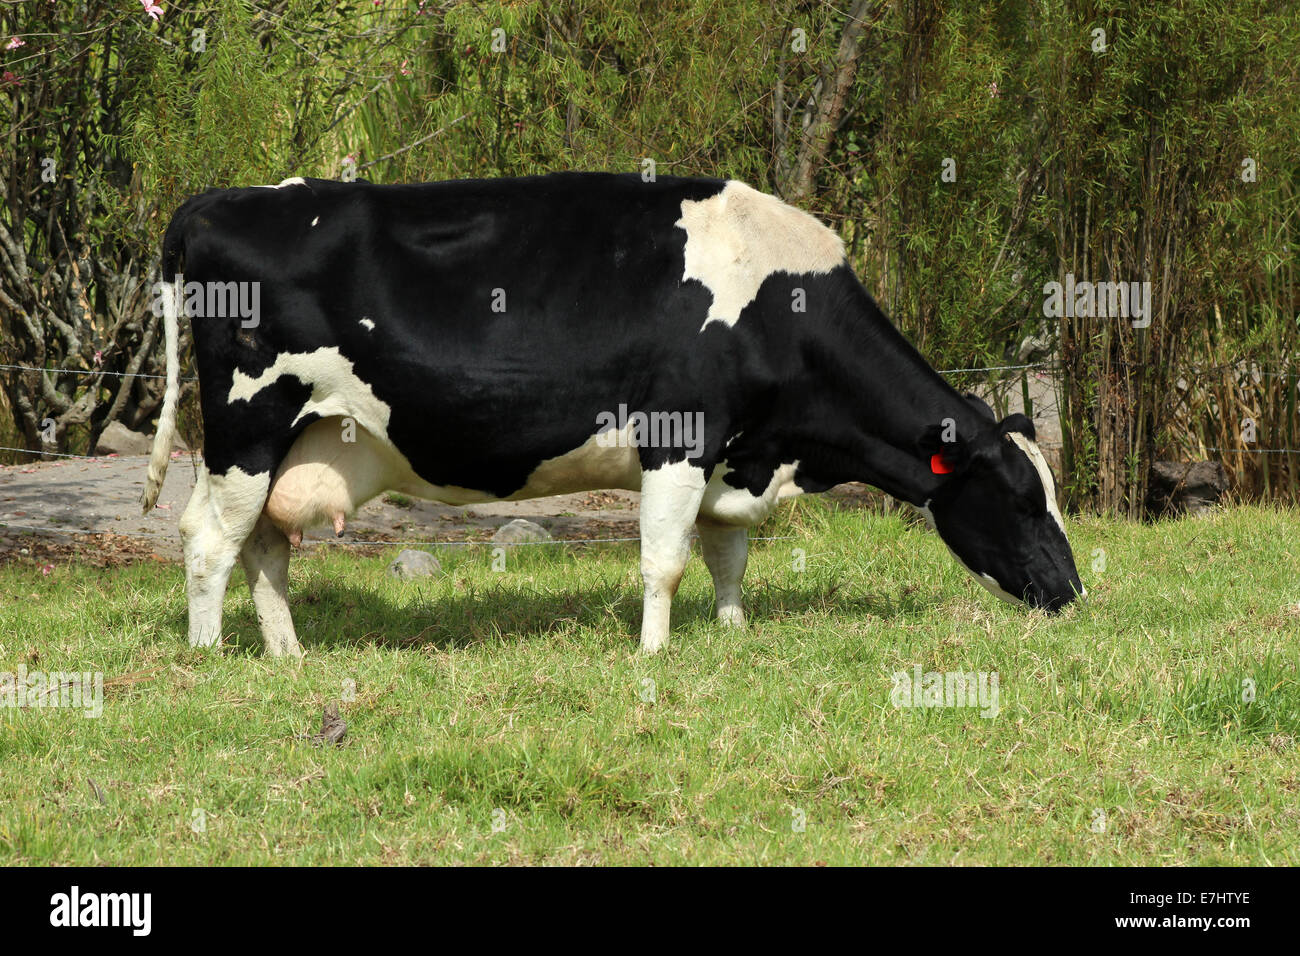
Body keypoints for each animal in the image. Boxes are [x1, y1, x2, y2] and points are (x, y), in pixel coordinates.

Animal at [141, 172, 1084, 658]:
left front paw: (733, 635)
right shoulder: (680, 439)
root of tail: (221, 198)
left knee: (264, 544)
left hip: (296, 441)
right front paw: (654, 655)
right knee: (208, 540)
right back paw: (208, 655)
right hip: (247, 424)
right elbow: (665, 563)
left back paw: (288, 655)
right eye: (1022, 500)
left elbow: (728, 556)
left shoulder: (735, 455)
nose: (1074, 593)